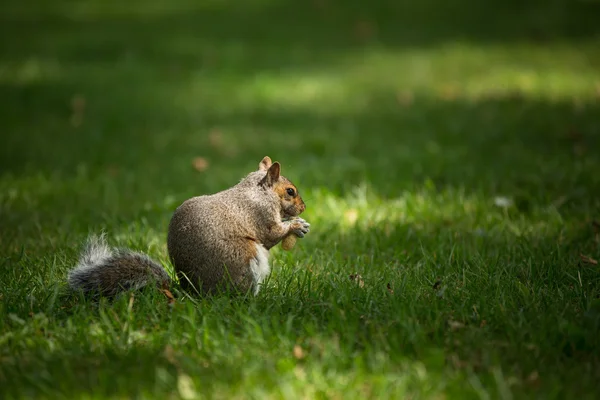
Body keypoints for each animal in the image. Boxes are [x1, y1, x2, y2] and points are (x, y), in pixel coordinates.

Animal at [67, 156, 310, 296]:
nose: (304, 207)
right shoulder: (261, 216)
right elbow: (271, 234)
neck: (260, 191)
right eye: (290, 191)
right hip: (245, 259)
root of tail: (194, 291)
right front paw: (296, 225)